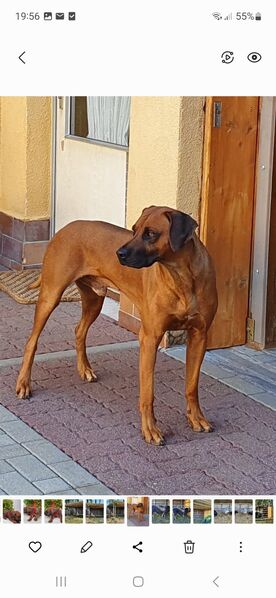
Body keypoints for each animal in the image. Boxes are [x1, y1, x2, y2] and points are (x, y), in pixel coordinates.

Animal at [15, 206, 218, 446]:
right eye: (134, 229)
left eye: (150, 233)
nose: (119, 254)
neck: (181, 276)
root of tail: (65, 228)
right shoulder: (149, 338)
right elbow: (147, 393)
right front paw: (150, 430)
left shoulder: (200, 335)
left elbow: (192, 386)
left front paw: (196, 418)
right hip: (51, 294)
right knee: (32, 341)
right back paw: (24, 384)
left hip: (94, 298)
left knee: (79, 330)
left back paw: (85, 369)